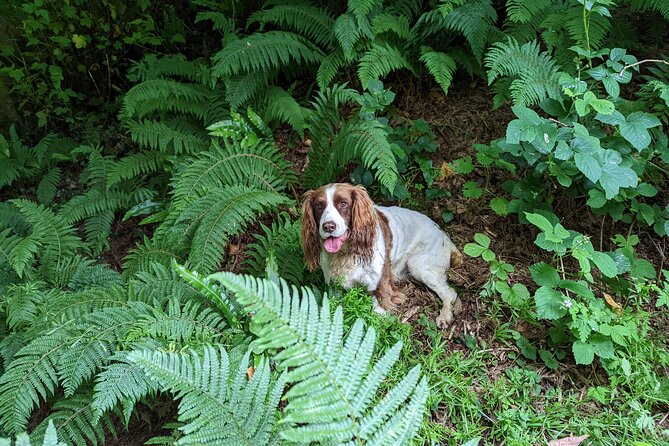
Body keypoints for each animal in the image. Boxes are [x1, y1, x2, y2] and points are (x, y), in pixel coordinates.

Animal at [302, 182, 462, 328]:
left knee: (450, 293)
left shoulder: (380, 284)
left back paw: (444, 316)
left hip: (419, 265)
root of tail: (445, 236)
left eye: (343, 203)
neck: (346, 253)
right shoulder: (333, 286)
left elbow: (378, 308)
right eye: (319, 205)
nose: (328, 226)